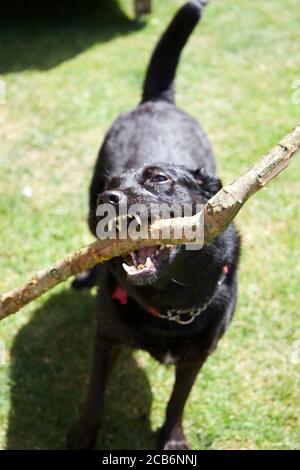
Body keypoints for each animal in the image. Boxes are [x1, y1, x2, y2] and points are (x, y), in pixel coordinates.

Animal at [67, 0, 240, 450]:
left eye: (159, 178)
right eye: (110, 186)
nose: (108, 200)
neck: (169, 305)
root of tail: (158, 101)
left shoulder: (197, 355)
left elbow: (178, 401)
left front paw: (172, 440)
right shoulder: (105, 337)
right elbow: (93, 396)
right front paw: (82, 437)